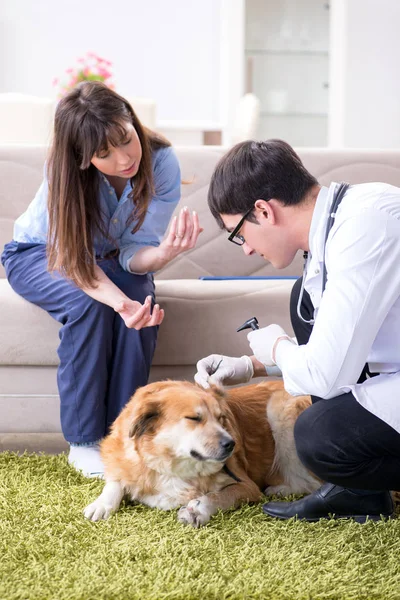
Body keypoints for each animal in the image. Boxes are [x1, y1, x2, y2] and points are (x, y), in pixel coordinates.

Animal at [83, 380, 318, 524]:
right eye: (194, 418)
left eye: (221, 418)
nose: (231, 444)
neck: (168, 464)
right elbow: (115, 481)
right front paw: (101, 503)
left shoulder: (247, 486)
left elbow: (220, 496)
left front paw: (198, 509)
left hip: (279, 409)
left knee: (312, 483)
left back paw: (281, 490)